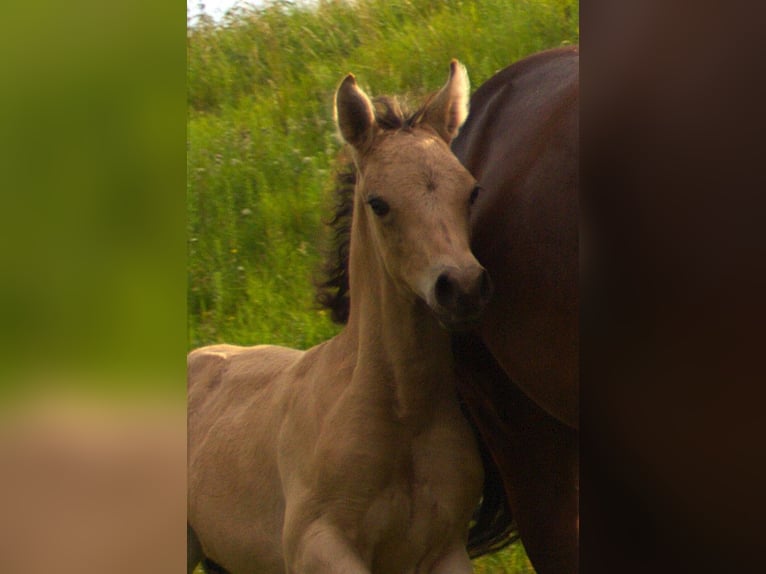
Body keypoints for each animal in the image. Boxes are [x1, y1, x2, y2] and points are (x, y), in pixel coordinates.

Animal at [189, 60, 496, 572]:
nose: (462, 287)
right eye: (379, 203)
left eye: (471, 191)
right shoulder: (317, 544)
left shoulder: (444, 550)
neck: (401, 416)